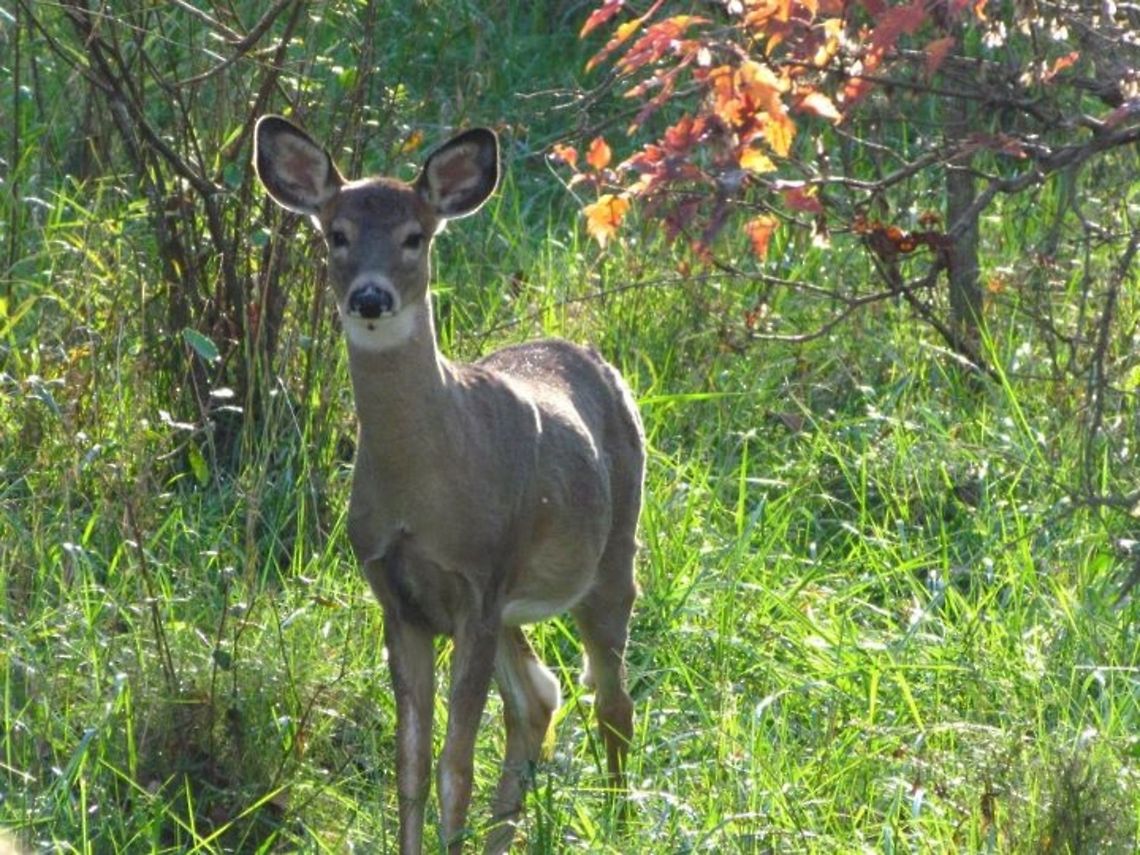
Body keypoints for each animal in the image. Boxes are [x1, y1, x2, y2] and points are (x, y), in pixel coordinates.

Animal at [253, 115, 645, 853]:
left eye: (416, 236)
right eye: (336, 233)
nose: (370, 295)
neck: (420, 494)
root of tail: (595, 358)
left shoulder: (478, 582)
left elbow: (453, 765)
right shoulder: (398, 594)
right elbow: (409, 762)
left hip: (612, 553)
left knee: (612, 695)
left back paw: (619, 821)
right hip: (513, 604)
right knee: (539, 695)